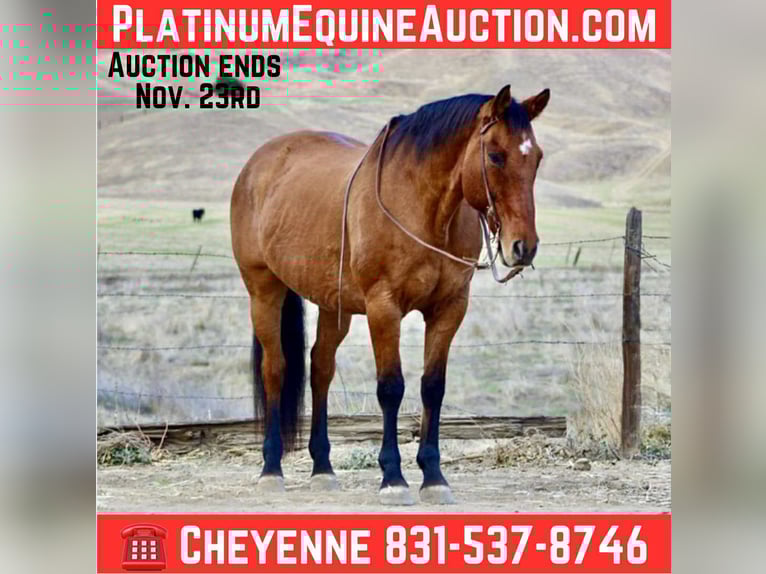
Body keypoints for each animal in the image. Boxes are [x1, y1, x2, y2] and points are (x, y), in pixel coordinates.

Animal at [230, 85, 549, 505]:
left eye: (537, 157)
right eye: (495, 155)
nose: (523, 247)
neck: (422, 206)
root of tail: (257, 164)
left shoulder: (449, 309)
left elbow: (433, 387)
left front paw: (433, 476)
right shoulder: (384, 309)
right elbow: (391, 388)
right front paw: (393, 477)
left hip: (333, 306)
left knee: (321, 369)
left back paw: (323, 468)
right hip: (264, 291)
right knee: (276, 369)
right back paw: (271, 468)